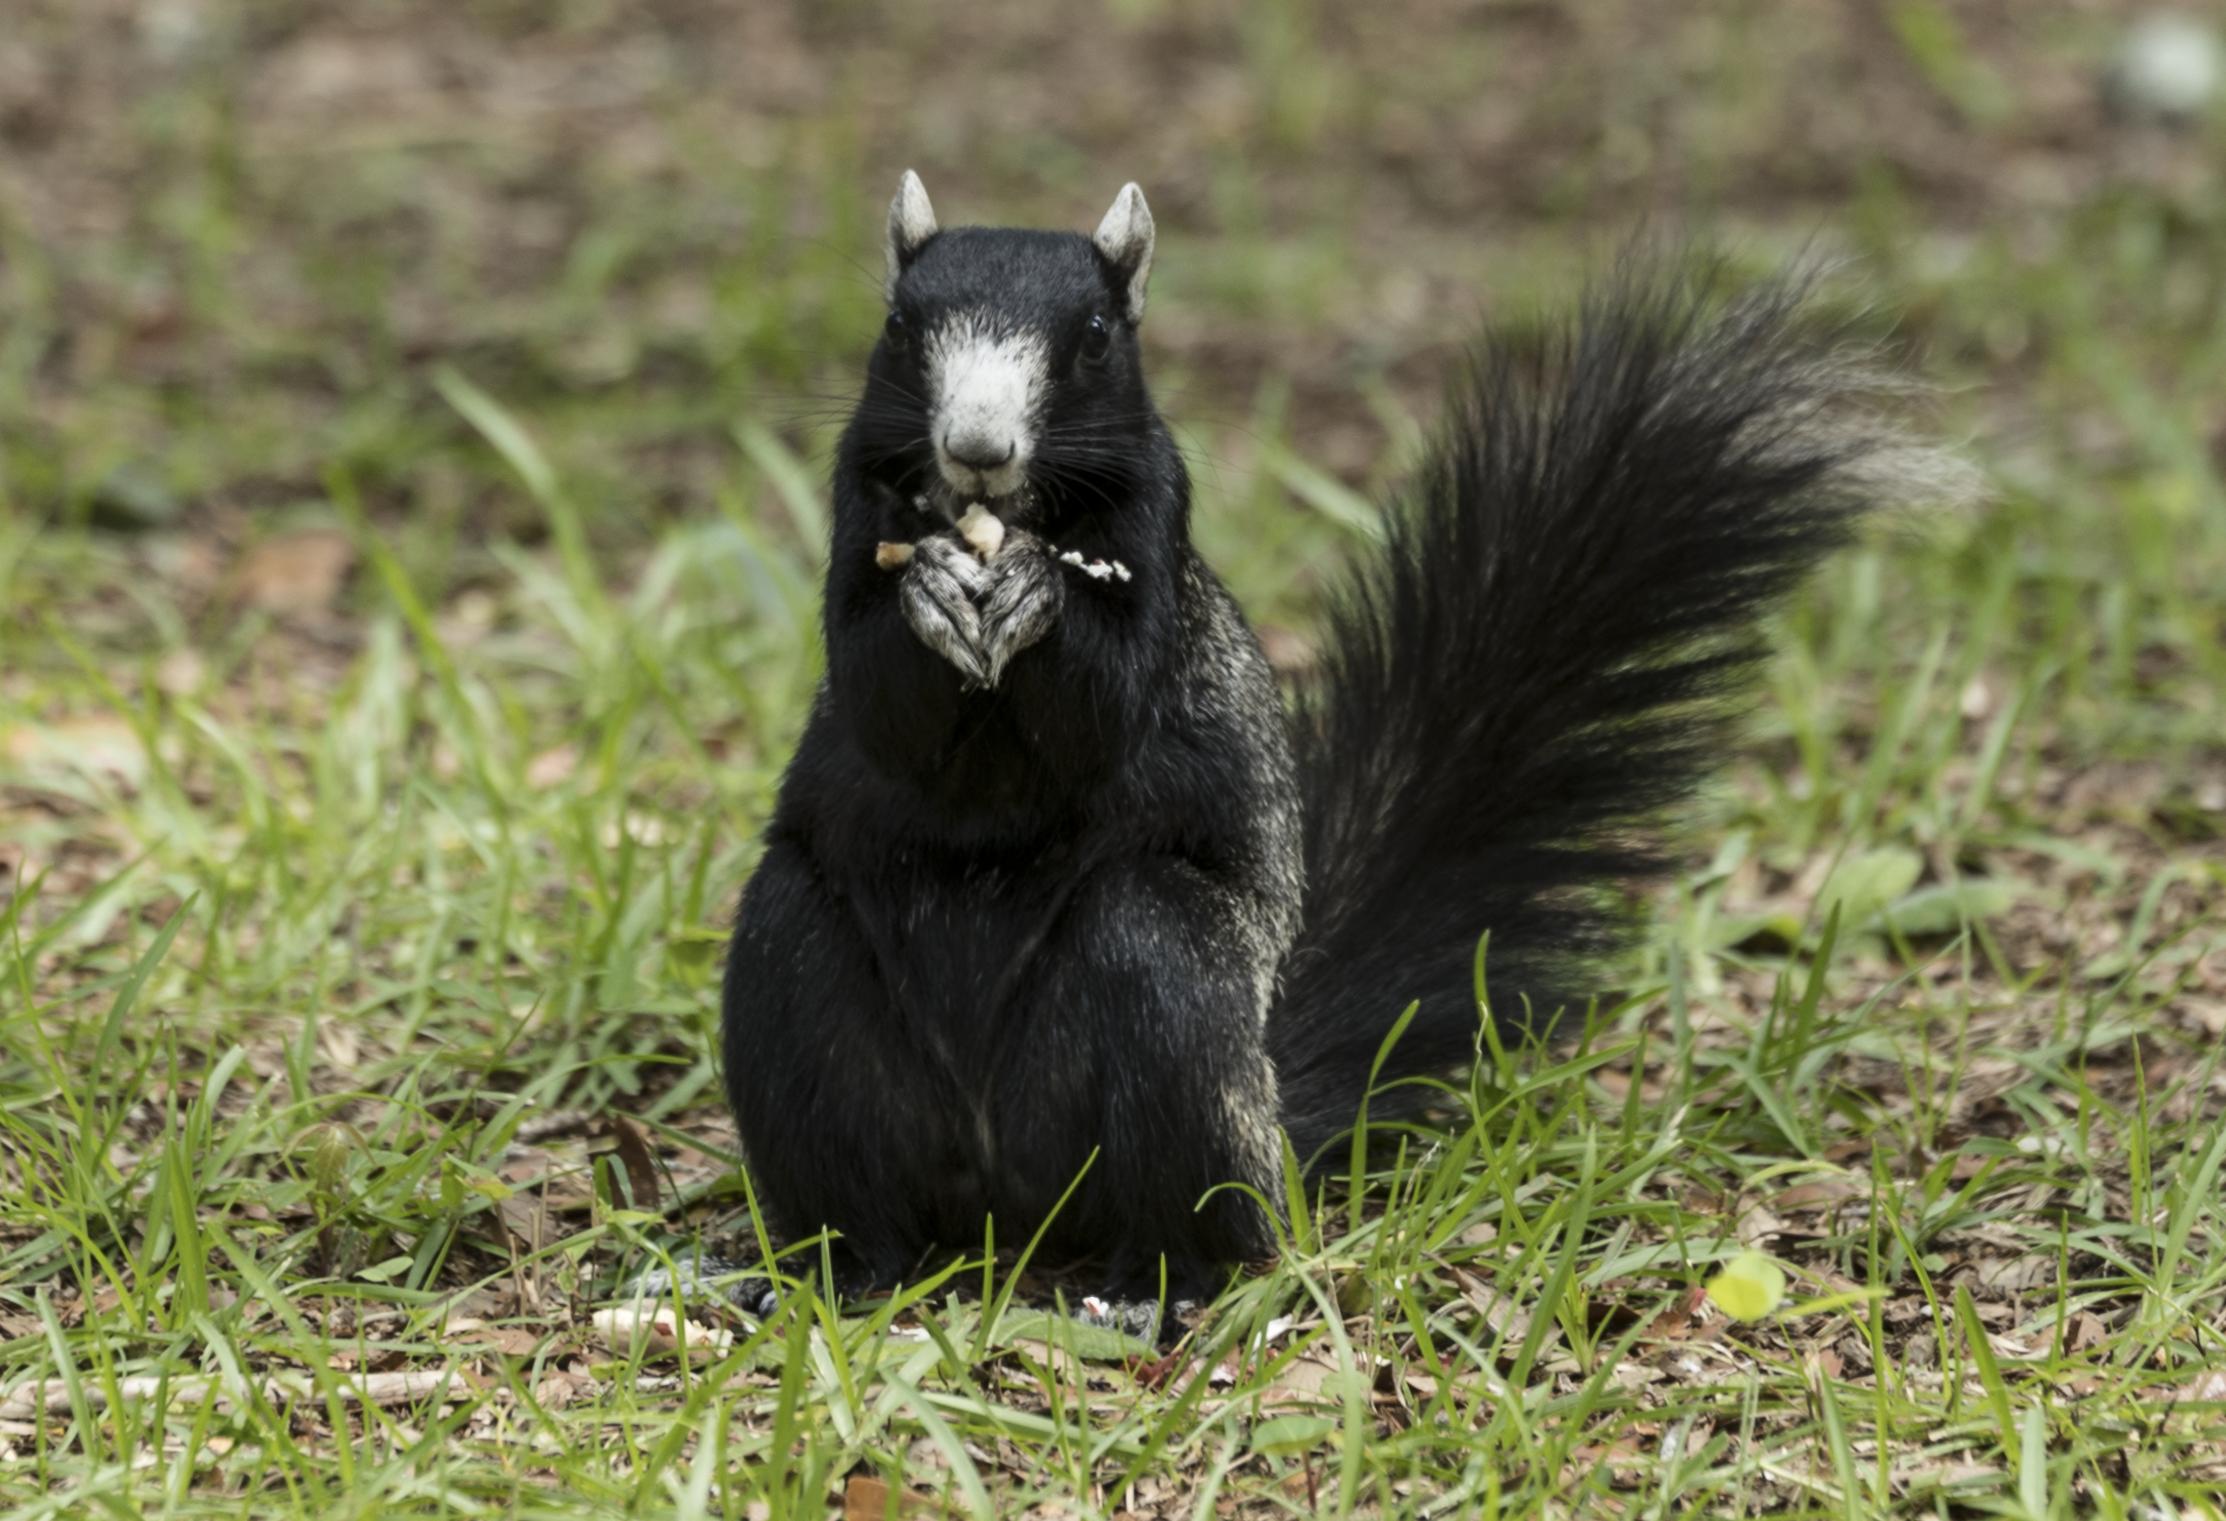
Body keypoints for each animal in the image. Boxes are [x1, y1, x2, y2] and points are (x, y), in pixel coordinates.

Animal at [716, 172, 1967, 1327]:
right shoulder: (856, 513)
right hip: (797, 981)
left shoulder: (1156, 533)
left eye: (1095, 339)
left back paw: (1167, 1283)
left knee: (1187, 1153)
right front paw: (935, 585)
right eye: (898, 326)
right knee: (851, 1146)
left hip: (1174, 1008)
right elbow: (880, 699)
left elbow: (1101, 710)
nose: (977, 450)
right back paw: (832, 1267)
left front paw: (1030, 591)